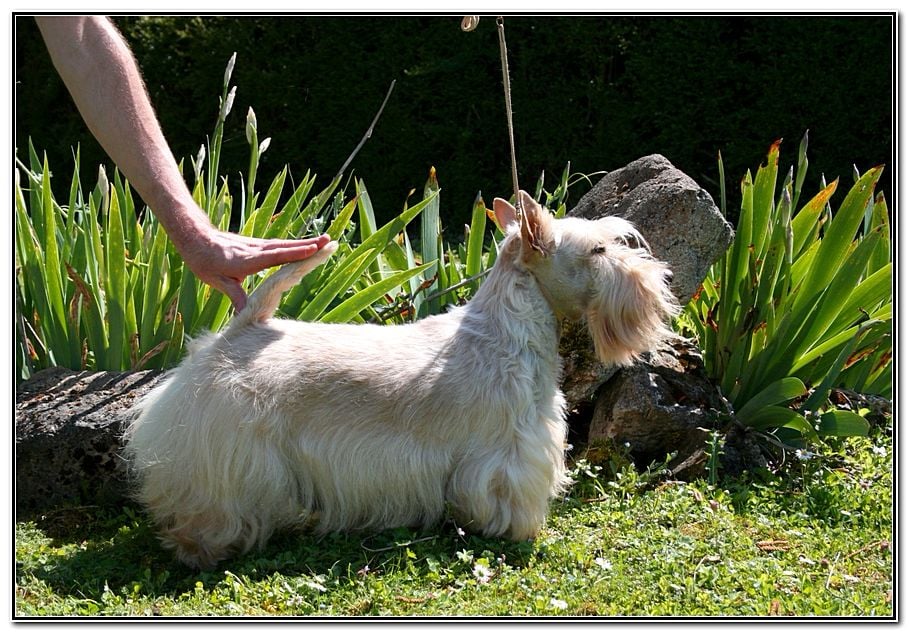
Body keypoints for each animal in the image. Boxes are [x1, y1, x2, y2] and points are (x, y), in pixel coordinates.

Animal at [124, 189, 676, 568]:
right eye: (599, 250)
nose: (659, 279)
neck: (504, 333)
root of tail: (236, 333)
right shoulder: (509, 453)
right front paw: (516, 531)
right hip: (226, 452)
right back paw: (202, 546)